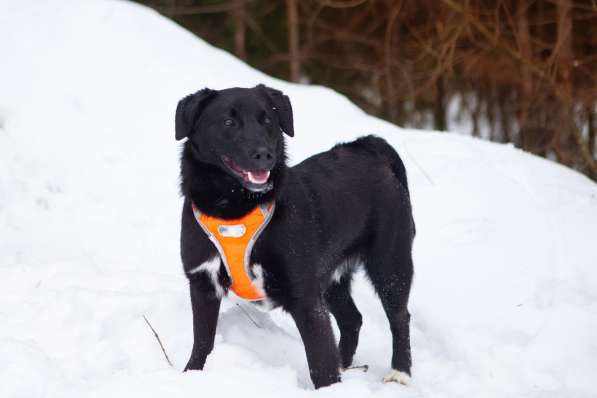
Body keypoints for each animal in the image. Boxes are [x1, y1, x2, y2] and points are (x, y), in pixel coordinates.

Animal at [175, 84, 412, 388]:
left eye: (268, 121)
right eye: (228, 122)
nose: (264, 154)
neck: (234, 210)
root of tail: (368, 148)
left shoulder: (305, 297)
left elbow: (320, 363)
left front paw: (329, 389)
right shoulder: (203, 283)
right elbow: (202, 343)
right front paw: (192, 375)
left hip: (390, 264)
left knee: (399, 317)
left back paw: (400, 373)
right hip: (330, 277)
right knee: (352, 319)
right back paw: (345, 365)